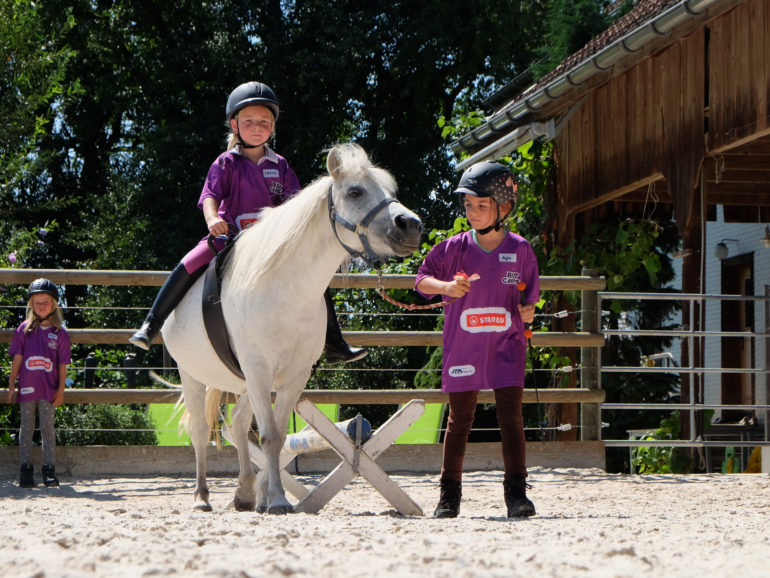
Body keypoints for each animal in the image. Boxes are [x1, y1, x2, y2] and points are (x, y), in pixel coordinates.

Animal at [162, 142, 424, 510]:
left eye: (391, 192)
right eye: (354, 191)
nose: (410, 225)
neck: (283, 287)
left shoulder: (293, 376)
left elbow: (277, 435)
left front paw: (269, 496)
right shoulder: (259, 371)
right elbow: (269, 435)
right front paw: (274, 498)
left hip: (243, 383)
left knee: (238, 423)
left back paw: (244, 493)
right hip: (193, 374)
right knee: (201, 430)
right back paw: (201, 496)